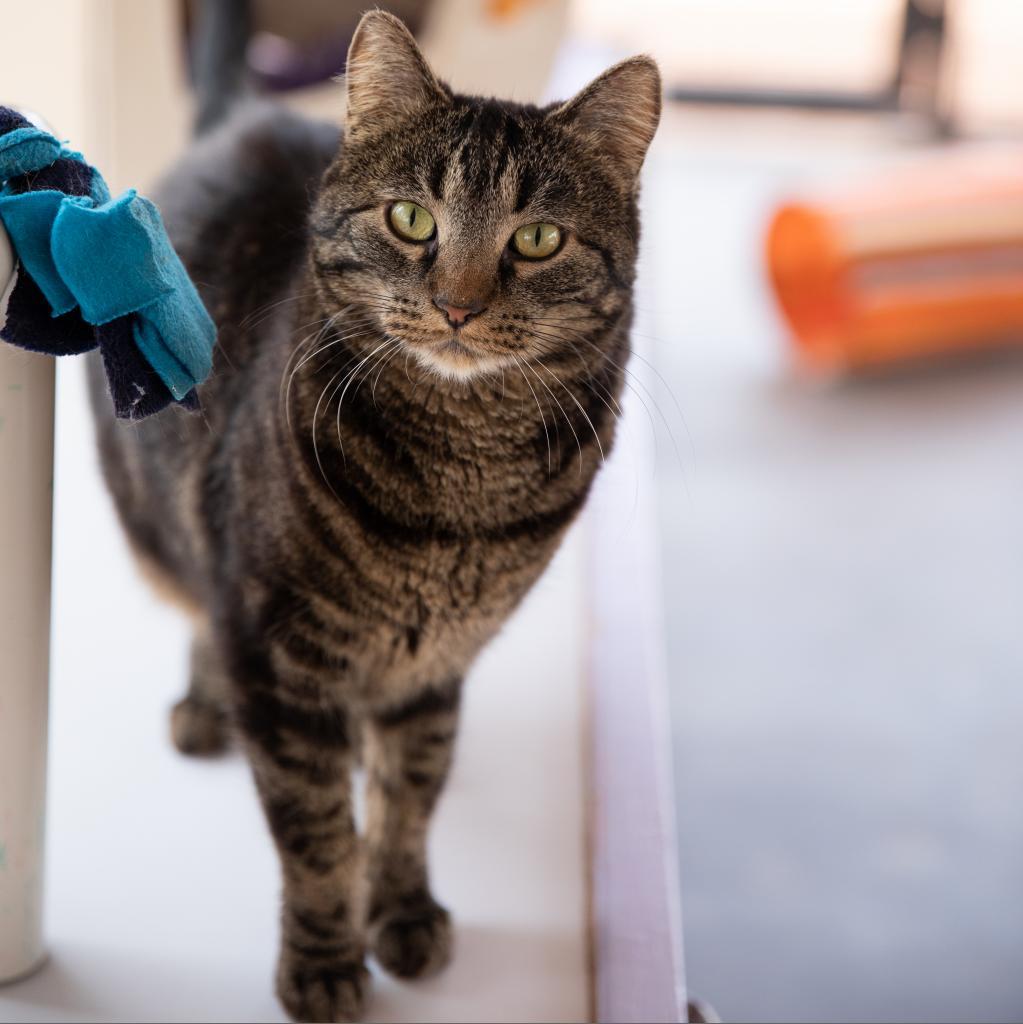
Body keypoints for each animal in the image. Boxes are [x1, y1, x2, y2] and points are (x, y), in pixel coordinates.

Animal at [90, 9, 663, 1024]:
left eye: (539, 239)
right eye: (411, 219)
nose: (457, 306)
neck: (461, 484)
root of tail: (246, 111)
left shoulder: (434, 669)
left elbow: (410, 798)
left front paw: (401, 906)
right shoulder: (278, 656)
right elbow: (317, 836)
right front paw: (323, 962)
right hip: (160, 522)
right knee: (195, 593)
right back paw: (204, 705)